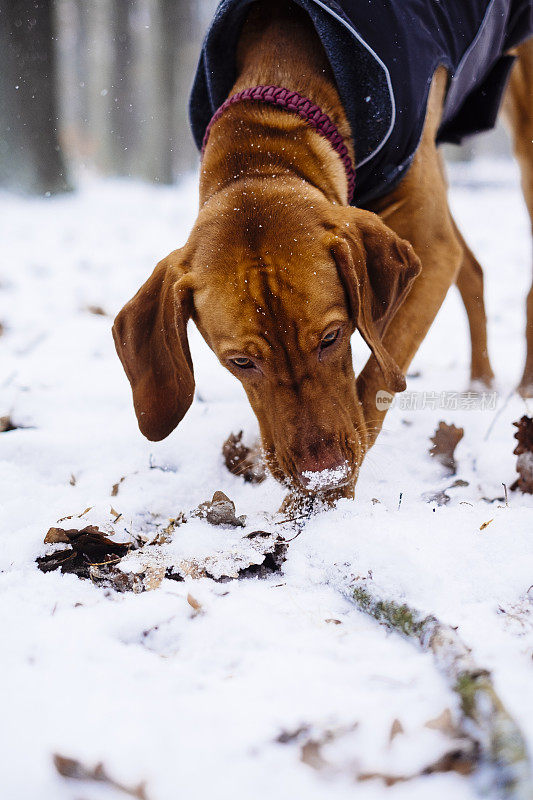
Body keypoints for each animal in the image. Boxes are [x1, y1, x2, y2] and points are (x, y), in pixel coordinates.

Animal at [112, 3, 532, 504]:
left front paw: (329, 498)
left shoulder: (428, 247)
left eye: (332, 337)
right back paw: (480, 384)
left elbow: (374, 381)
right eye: (241, 362)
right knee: (472, 267)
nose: (321, 472)